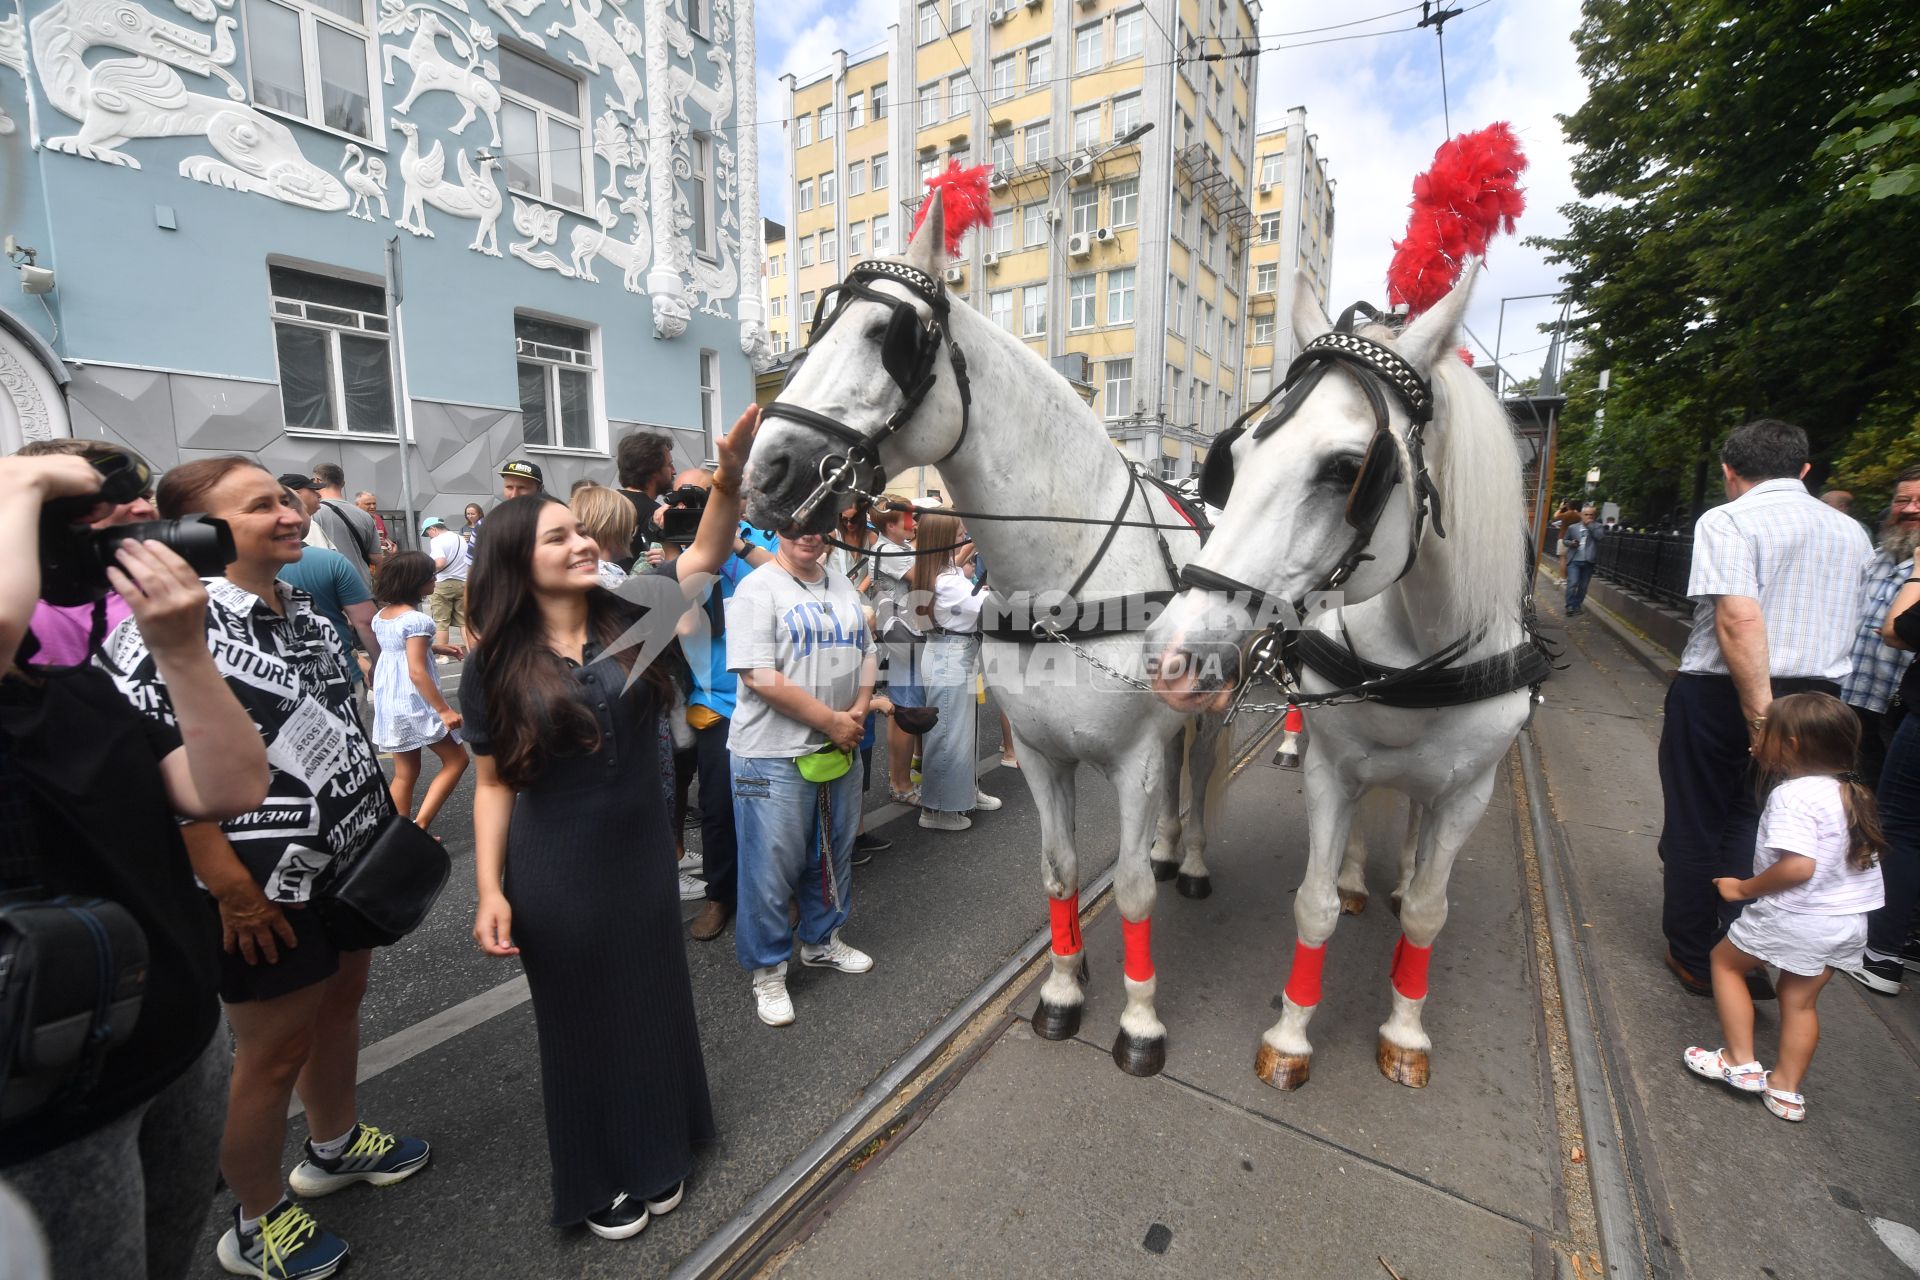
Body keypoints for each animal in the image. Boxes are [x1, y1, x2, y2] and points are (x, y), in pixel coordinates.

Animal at [744, 192, 1228, 1074]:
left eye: (889, 334)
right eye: (822, 327)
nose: (766, 474)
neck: (1064, 577)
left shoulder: (1134, 758)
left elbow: (1130, 887)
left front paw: (1140, 1024)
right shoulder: (1039, 753)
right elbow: (1061, 872)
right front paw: (1063, 993)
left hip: (1207, 712)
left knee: (1199, 767)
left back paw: (1195, 859)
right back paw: (1173, 845)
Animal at [1144, 270, 1536, 1090]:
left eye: (1349, 471)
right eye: (1236, 458)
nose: (1173, 654)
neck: (1418, 644)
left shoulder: (1470, 791)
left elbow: (1428, 911)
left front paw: (1406, 1030)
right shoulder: (1331, 770)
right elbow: (1314, 903)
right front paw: (1291, 1037)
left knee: (1415, 828)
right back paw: (1360, 878)